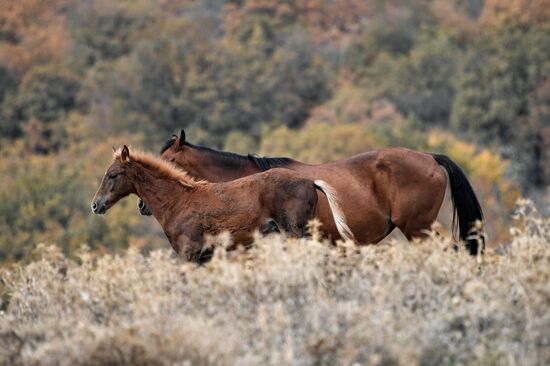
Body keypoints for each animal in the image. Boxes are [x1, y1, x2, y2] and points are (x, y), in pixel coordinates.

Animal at [93, 144, 354, 262]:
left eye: (112, 174)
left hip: (294, 234)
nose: (96, 205)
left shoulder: (188, 253)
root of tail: (310, 182)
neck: (178, 200)